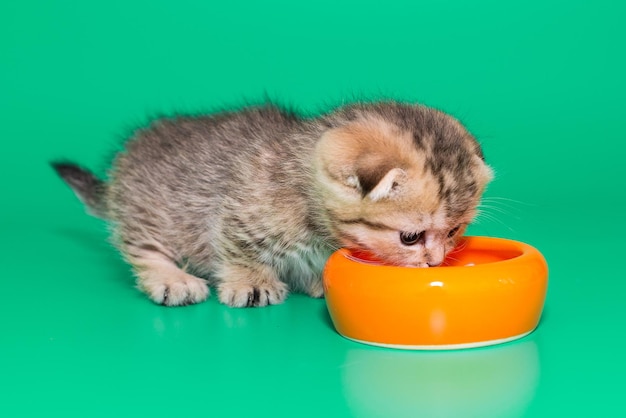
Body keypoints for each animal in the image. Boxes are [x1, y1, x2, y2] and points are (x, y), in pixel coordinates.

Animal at [52, 102, 492, 306]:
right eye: (410, 237)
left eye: (453, 232)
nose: (435, 263)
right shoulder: (237, 210)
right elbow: (237, 246)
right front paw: (251, 283)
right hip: (152, 211)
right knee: (142, 247)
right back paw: (172, 279)